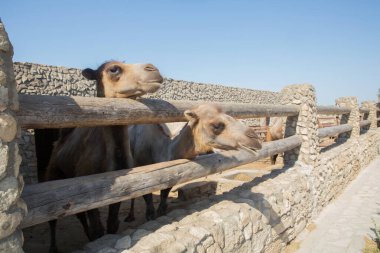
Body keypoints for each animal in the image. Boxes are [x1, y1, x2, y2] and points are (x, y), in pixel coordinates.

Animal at [45, 60, 163, 252]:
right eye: (113, 69)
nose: (153, 69)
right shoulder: (89, 188)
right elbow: (98, 228)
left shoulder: (121, 187)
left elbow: (111, 225)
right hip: (53, 172)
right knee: (54, 218)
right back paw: (54, 248)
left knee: (78, 215)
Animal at [124, 103, 262, 221]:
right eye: (216, 125)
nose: (255, 138)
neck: (160, 149)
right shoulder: (141, 171)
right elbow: (146, 197)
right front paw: (150, 215)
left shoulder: (168, 174)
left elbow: (164, 194)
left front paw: (161, 212)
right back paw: (130, 216)